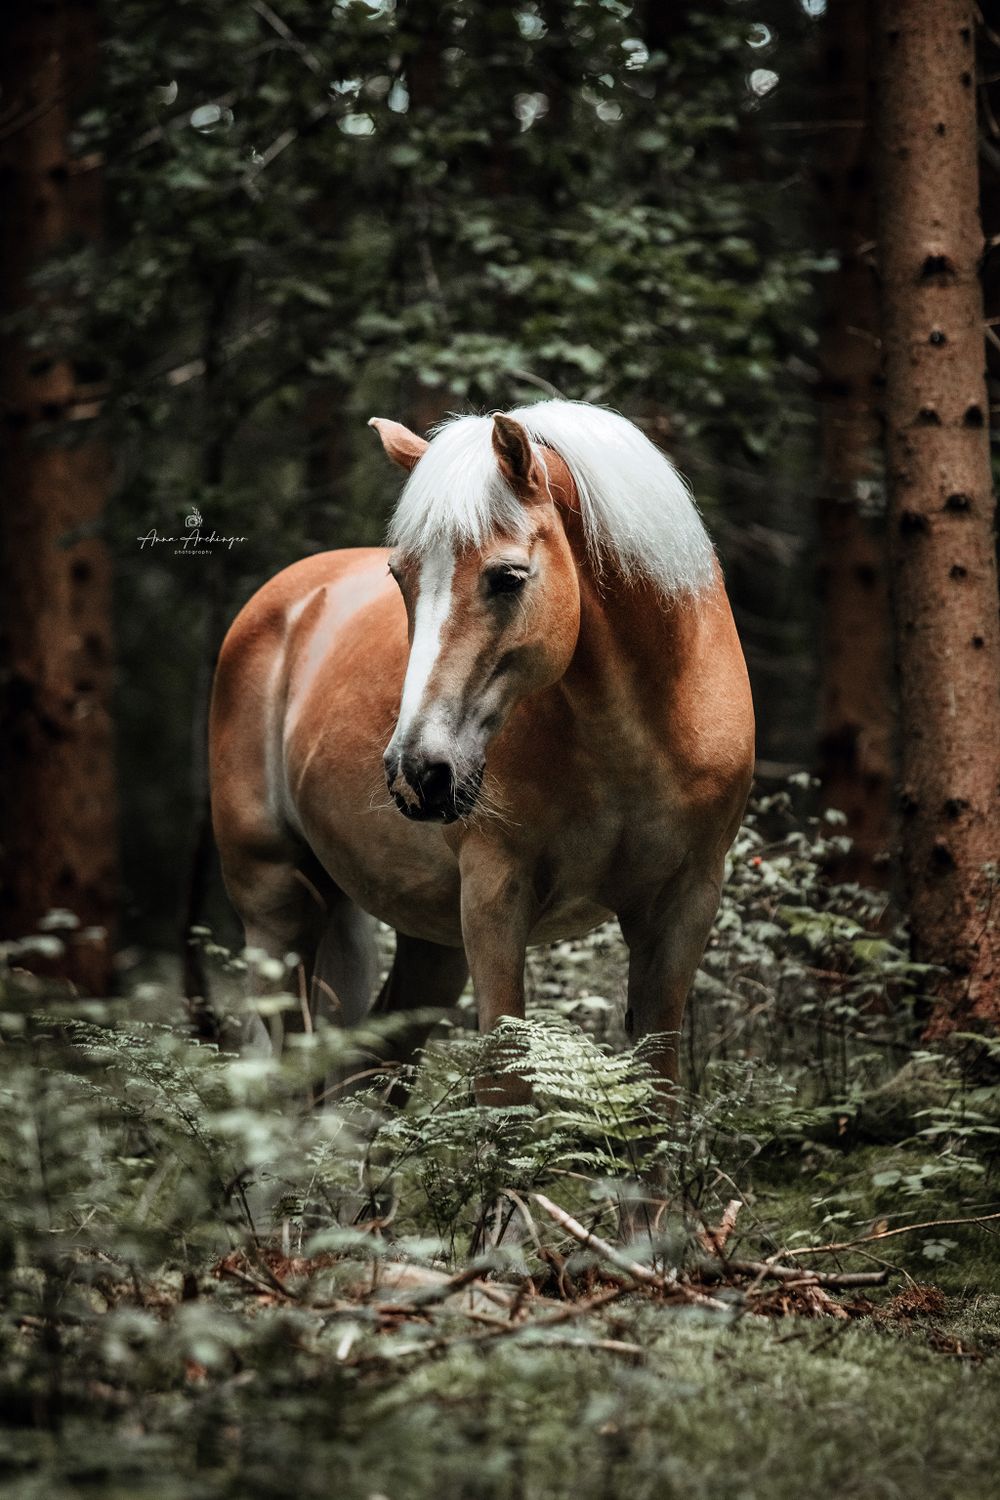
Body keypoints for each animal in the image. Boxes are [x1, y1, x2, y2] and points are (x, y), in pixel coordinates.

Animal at [209, 400, 754, 1103]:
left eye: (507, 578)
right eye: (401, 576)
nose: (417, 773)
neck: (639, 736)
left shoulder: (684, 905)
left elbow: (658, 1092)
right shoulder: (496, 898)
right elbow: (504, 1087)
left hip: (429, 941)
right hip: (277, 905)